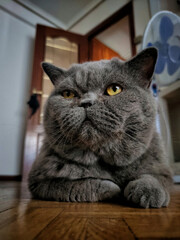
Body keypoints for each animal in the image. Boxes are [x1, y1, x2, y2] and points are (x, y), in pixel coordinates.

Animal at [28, 47, 173, 208]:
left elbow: (156, 177)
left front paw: (149, 191)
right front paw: (113, 188)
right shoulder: (39, 181)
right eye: (68, 94)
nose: (86, 103)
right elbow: (76, 185)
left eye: (114, 89)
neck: (105, 159)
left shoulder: (160, 167)